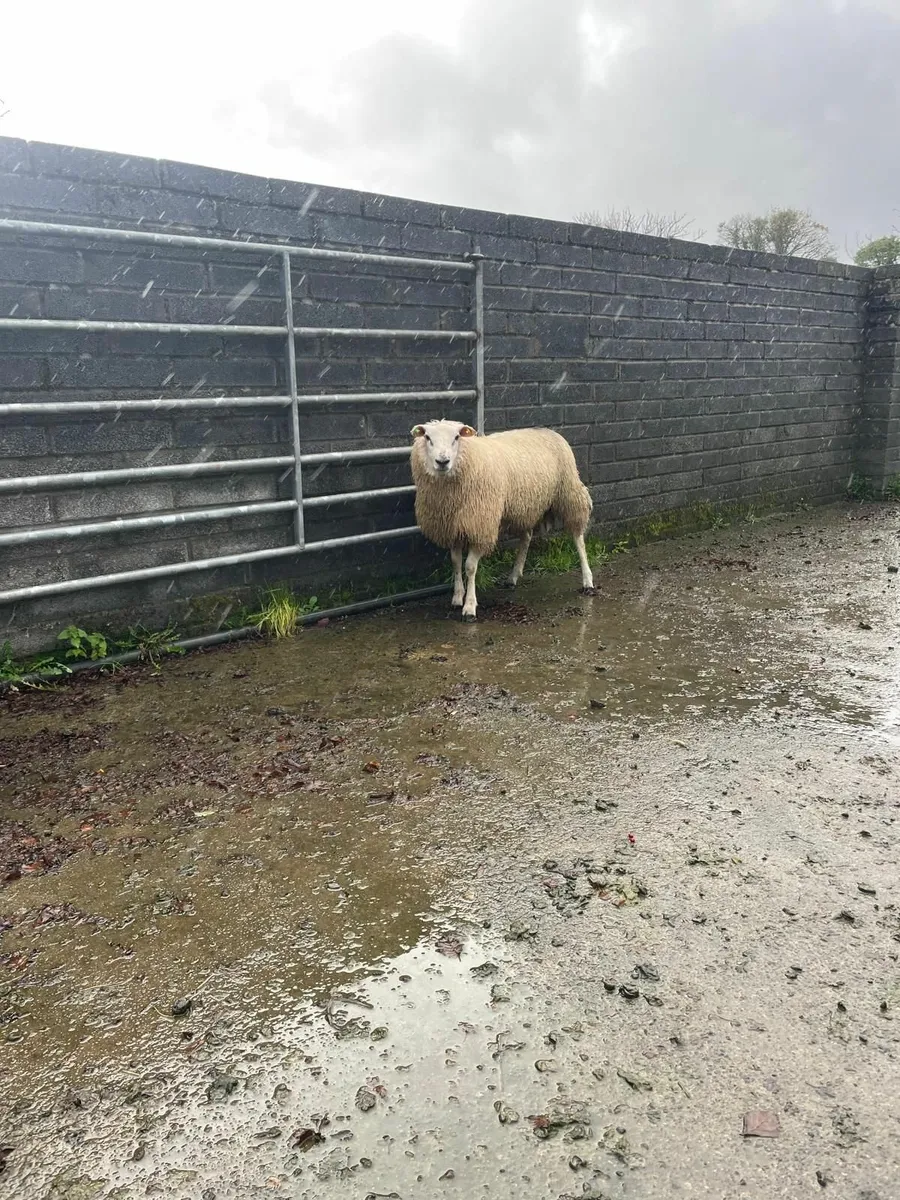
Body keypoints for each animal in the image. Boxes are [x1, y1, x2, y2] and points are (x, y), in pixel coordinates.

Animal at [409, 419, 595, 621]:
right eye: (428, 438)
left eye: (457, 437)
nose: (442, 461)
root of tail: (549, 431)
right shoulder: (453, 527)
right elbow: (456, 562)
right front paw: (457, 597)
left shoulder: (481, 525)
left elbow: (470, 567)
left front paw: (470, 606)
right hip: (526, 506)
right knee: (526, 537)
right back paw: (513, 576)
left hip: (568, 491)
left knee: (578, 538)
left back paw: (587, 580)